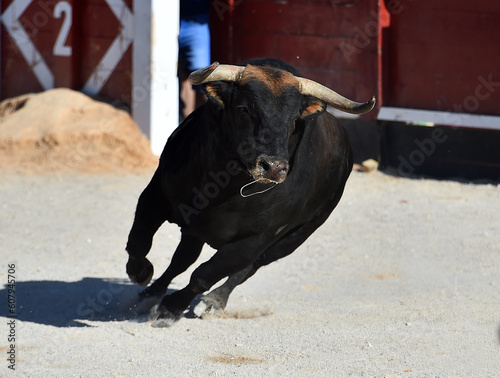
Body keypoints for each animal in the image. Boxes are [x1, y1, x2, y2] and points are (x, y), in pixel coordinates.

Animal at [125, 57, 376, 326]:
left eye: (293, 120)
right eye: (244, 109)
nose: (274, 167)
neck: (223, 187)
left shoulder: (256, 239)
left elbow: (205, 275)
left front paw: (170, 309)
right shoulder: (155, 196)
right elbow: (139, 240)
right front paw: (142, 274)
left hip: (295, 237)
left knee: (248, 267)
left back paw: (214, 301)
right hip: (196, 229)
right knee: (182, 259)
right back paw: (152, 292)